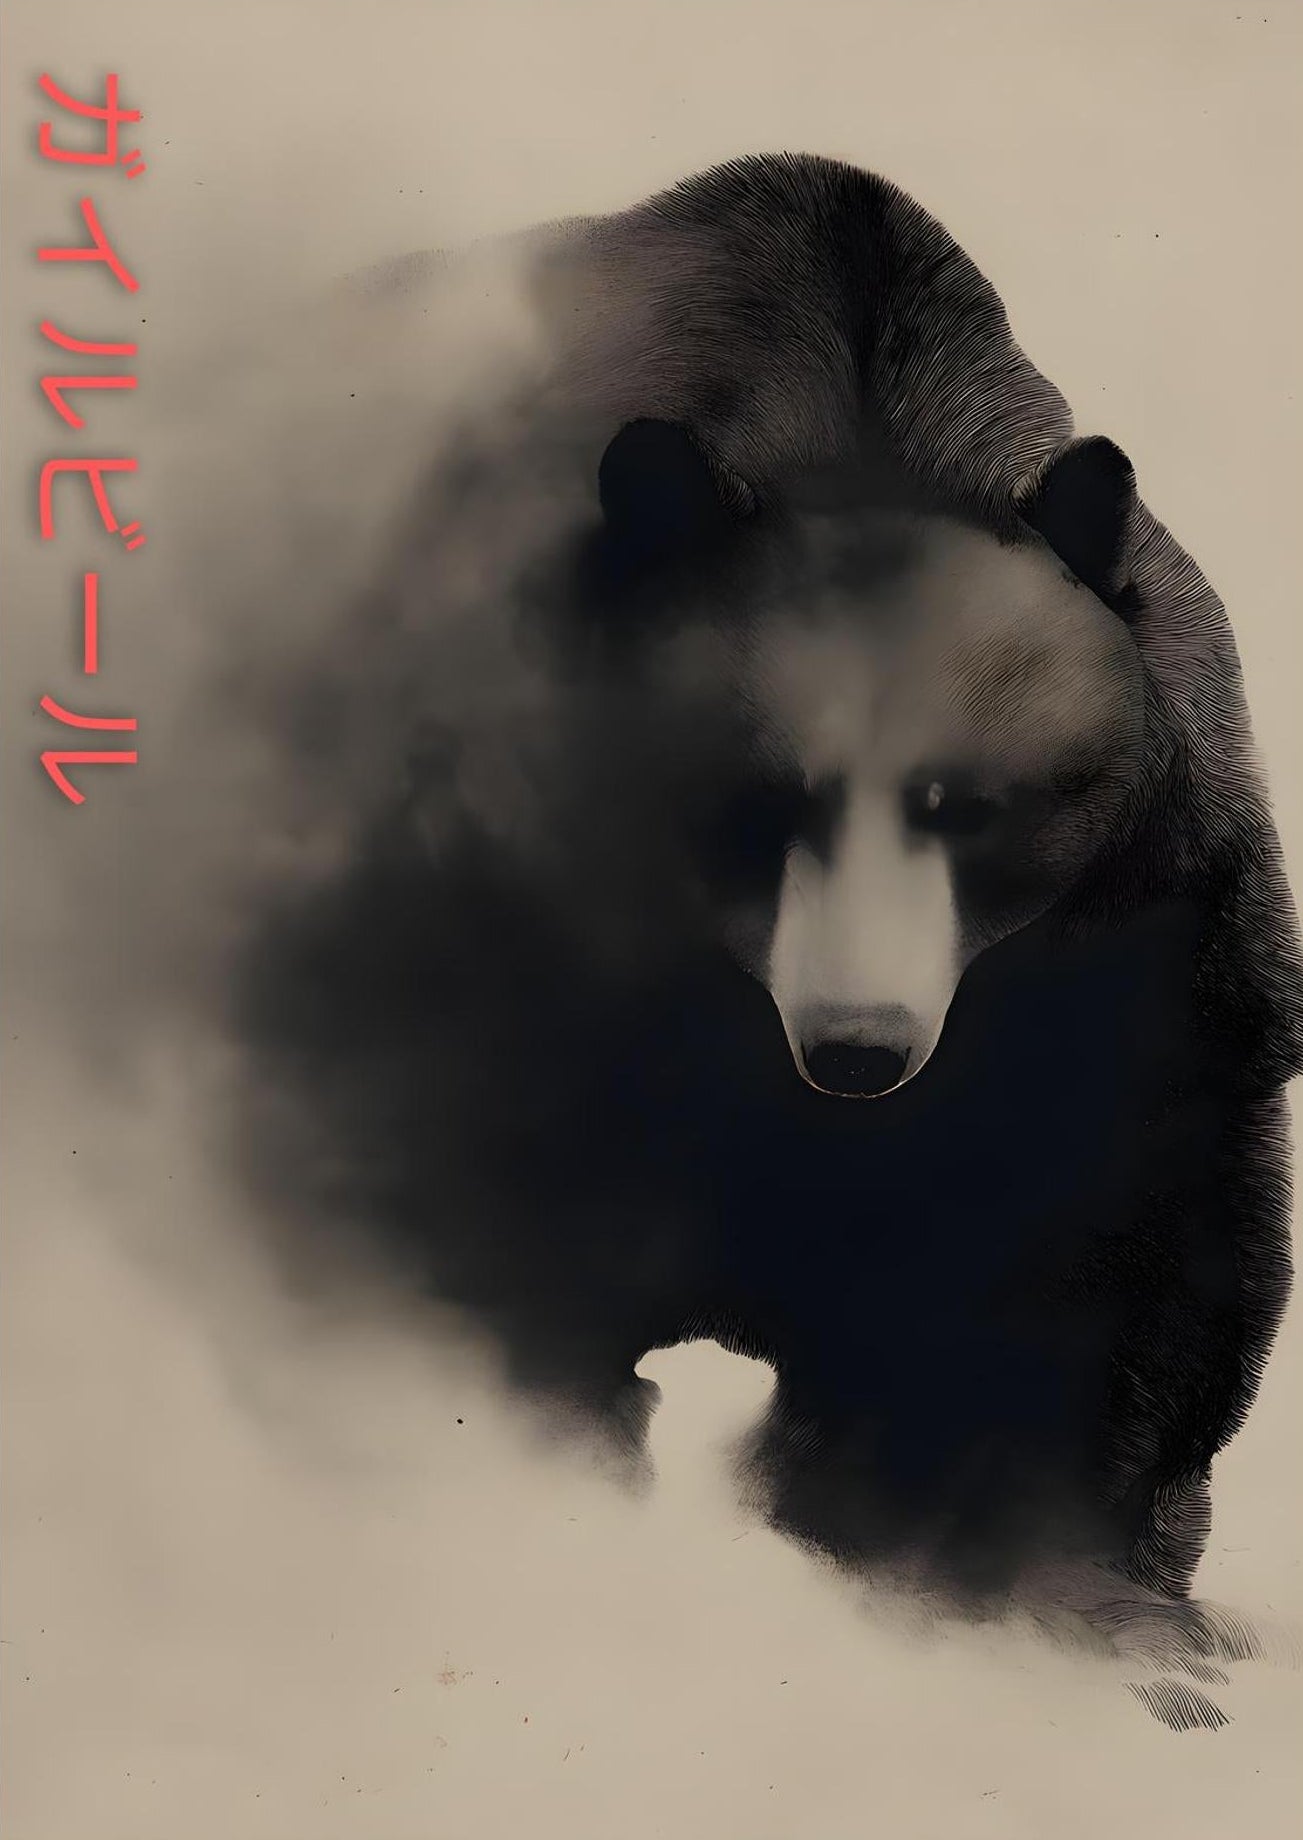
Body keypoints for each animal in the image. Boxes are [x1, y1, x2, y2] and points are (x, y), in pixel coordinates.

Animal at [231, 153, 1303, 1674]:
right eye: (757, 800)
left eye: (971, 807)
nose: (857, 1046)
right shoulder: (475, 894)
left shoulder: (1138, 944)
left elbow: (1103, 1271)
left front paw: (1084, 1603)